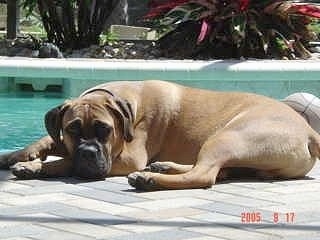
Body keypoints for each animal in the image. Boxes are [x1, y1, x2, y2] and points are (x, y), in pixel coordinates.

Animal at [0, 81, 318, 191]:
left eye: (105, 130)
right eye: (72, 130)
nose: (89, 152)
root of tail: (309, 131)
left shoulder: (127, 158)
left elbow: (64, 161)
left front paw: (34, 167)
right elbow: (45, 142)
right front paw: (16, 156)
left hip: (227, 137)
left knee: (205, 175)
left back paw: (149, 179)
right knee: (218, 171)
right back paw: (164, 167)